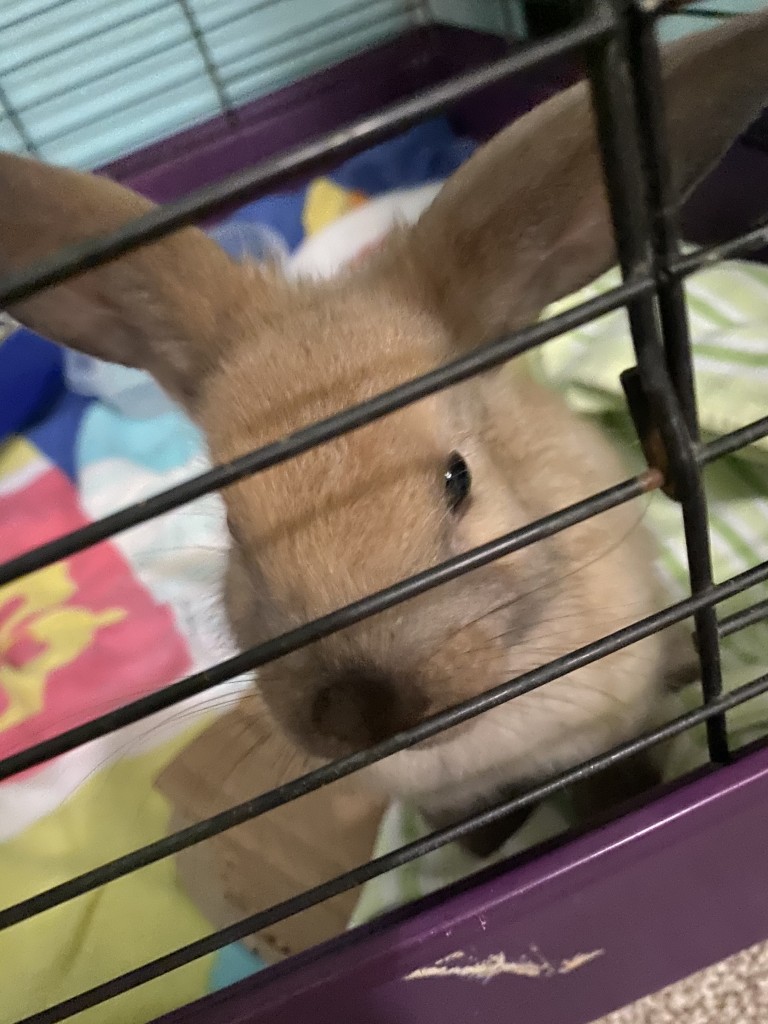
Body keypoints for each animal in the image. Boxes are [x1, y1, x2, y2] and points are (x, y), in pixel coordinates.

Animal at [0, 10, 766, 857]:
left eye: (459, 478)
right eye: (233, 528)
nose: (359, 708)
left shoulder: (609, 732)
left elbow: (612, 783)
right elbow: (466, 828)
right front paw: (475, 853)